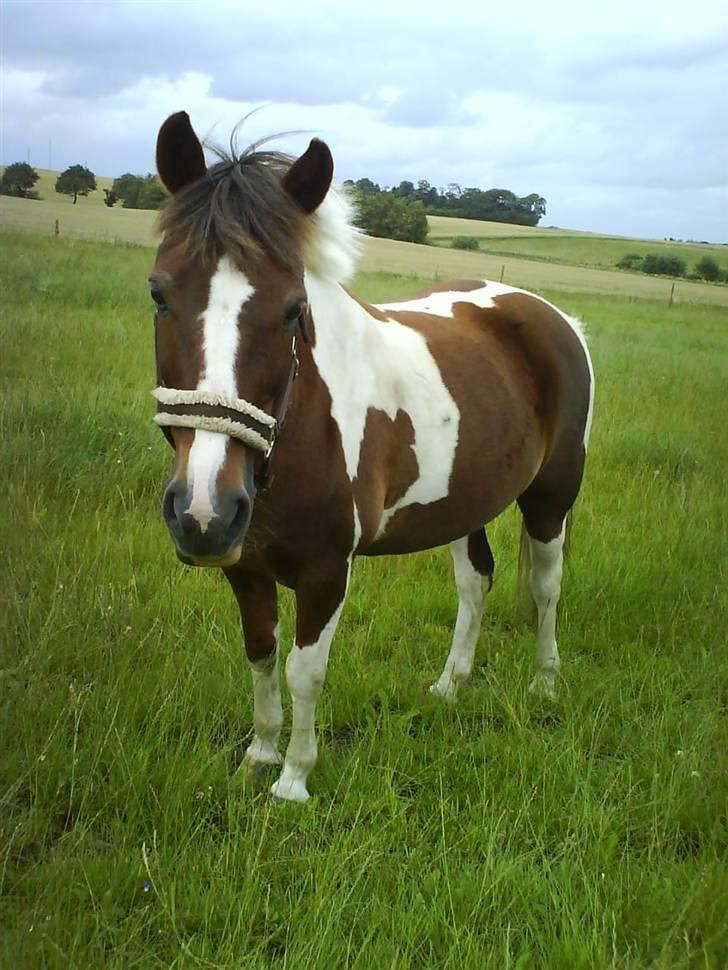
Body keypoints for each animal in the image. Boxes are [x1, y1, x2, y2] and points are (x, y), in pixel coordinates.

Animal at [149, 112, 594, 803]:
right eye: (159, 294)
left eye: (293, 310)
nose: (204, 512)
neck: (301, 430)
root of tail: (553, 315)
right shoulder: (243, 566)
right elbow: (261, 655)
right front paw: (258, 757)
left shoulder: (327, 569)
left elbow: (304, 670)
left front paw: (293, 782)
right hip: (464, 502)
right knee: (476, 580)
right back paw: (449, 686)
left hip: (552, 495)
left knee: (546, 586)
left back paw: (544, 683)